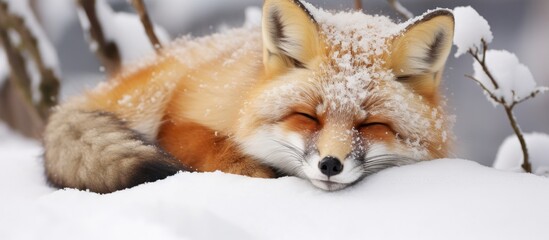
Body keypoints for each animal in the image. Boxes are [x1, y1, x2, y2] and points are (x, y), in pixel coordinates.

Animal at [42, 0, 454, 192]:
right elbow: (209, 143)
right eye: (307, 116)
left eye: (370, 125)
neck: (242, 93)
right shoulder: (179, 113)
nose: (330, 165)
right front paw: (248, 169)